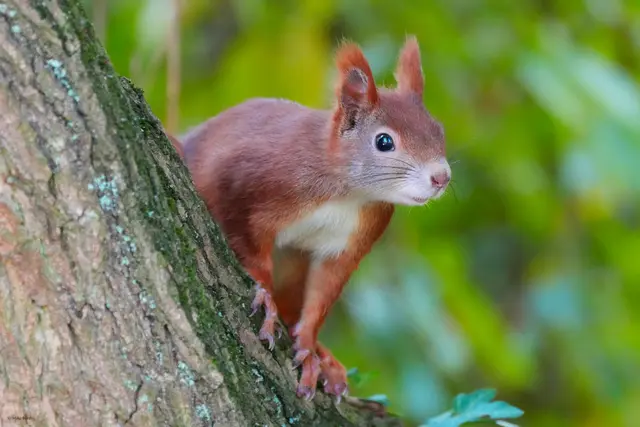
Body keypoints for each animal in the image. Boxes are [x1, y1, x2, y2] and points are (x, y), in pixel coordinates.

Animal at [166, 36, 451, 401]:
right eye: (384, 141)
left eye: (439, 131)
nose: (441, 177)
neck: (346, 193)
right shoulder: (246, 184)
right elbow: (247, 241)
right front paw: (265, 295)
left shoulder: (357, 235)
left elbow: (324, 290)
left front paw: (308, 344)